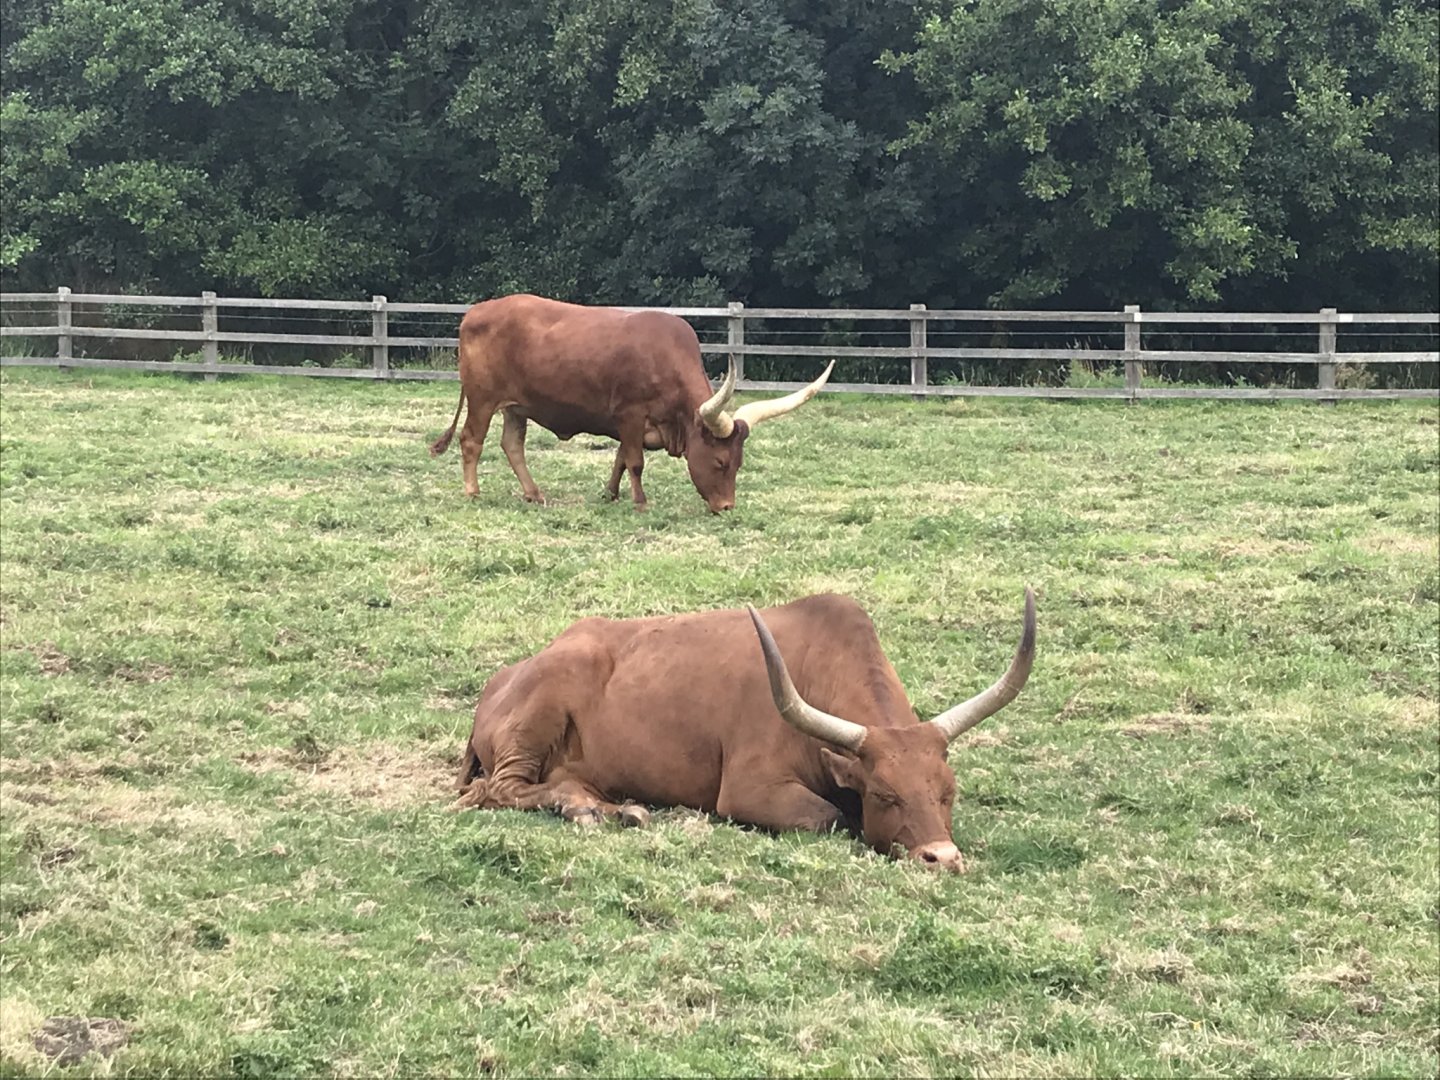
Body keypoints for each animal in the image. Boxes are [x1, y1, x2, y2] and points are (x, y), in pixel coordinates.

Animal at [430, 294, 834, 513]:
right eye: (720, 462)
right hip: (483, 400)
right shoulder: (630, 415)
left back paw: (534, 493)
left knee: (512, 444)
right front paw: (639, 501)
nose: (726, 508)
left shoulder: (628, 426)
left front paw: (610, 493)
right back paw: (472, 491)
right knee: (471, 441)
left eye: (739, 463)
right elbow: (635, 461)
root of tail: (475, 312)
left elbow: (621, 458)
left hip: (517, 407)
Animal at [454, 588, 1036, 871]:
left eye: (947, 793)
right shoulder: (750, 790)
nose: (943, 859)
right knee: (499, 790)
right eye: (884, 795)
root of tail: (504, 678)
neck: (818, 666)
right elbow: (826, 818)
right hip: (539, 714)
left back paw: (612, 810)